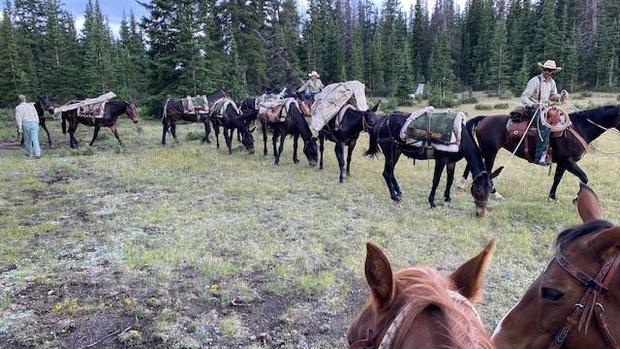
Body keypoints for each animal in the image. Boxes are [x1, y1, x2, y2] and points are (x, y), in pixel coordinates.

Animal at [366, 111, 502, 215]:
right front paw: (432, 202)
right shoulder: (441, 160)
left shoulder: (451, 162)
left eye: (490, 189)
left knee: (391, 172)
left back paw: (398, 192)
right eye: (478, 190)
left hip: (396, 152)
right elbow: (436, 180)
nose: (480, 213)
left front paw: (447, 197)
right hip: (389, 151)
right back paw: (394, 197)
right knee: (386, 173)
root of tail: (381, 121)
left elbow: (450, 179)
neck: (458, 136)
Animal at [460, 103, 620, 200]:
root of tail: (484, 118)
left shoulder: (563, 163)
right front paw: (577, 198)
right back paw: (494, 193)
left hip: (484, 149)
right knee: (487, 170)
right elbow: (584, 178)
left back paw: (462, 185)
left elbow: (557, 179)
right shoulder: (569, 161)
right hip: (490, 152)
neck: (580, 127)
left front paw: (552, 197)